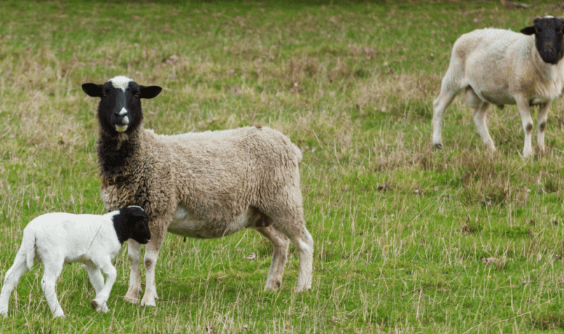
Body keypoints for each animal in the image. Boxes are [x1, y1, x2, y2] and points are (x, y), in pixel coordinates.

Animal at [0, 206, 150, 318]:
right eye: (143, 221)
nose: (149, 238)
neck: (116, 227)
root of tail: (33, 230)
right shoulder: (100, 256)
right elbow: (113, 274)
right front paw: (99, 302)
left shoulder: (91, 264)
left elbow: (99, 282)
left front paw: (102, 308)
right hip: (53, 257)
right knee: (47, 283)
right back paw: (59, 314)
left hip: (24, 253)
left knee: (10, 277)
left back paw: (3, 312)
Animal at [81, 77, 316, 306]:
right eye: (104, 93)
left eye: (137, 94)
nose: (121, 116)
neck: (143, 154)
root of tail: (289, 144)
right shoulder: (132, 216)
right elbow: (134, 258)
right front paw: (131, 295)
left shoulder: (159, 212)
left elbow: (149, 260)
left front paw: (147, 299)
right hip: (259, 212)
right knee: (282, 242)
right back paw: (271, 285)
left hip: (283, 199)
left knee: (304, 242)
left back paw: (303, 288)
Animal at [432, 15, 564, 157]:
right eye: (537, 30)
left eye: (560, 30)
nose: (548, 52)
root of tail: (466, 35)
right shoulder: (520, 95)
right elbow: (528, 125)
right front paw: (527, 153)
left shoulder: (547, 98)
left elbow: (542, 124)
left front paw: (541, 150)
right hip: (453, 78)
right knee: (439, 106)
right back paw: (437, 143)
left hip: (485, 92)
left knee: (478, 117)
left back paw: (491, 147)